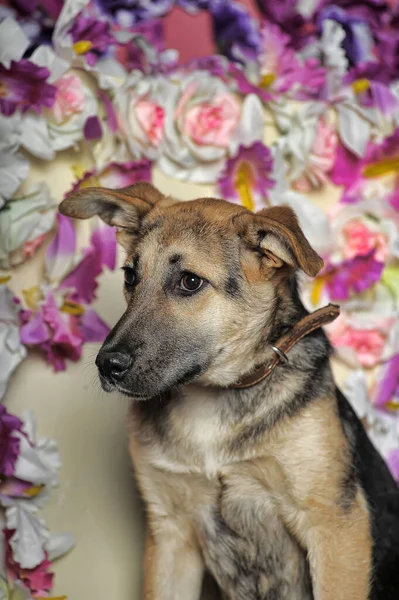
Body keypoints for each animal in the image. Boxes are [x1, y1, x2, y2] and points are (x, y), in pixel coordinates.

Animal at [59, 183, 399, 600]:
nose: (107, 365)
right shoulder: (170, 535)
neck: (212, 396)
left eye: (190, 282)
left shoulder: (334, 527)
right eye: (130, 276)